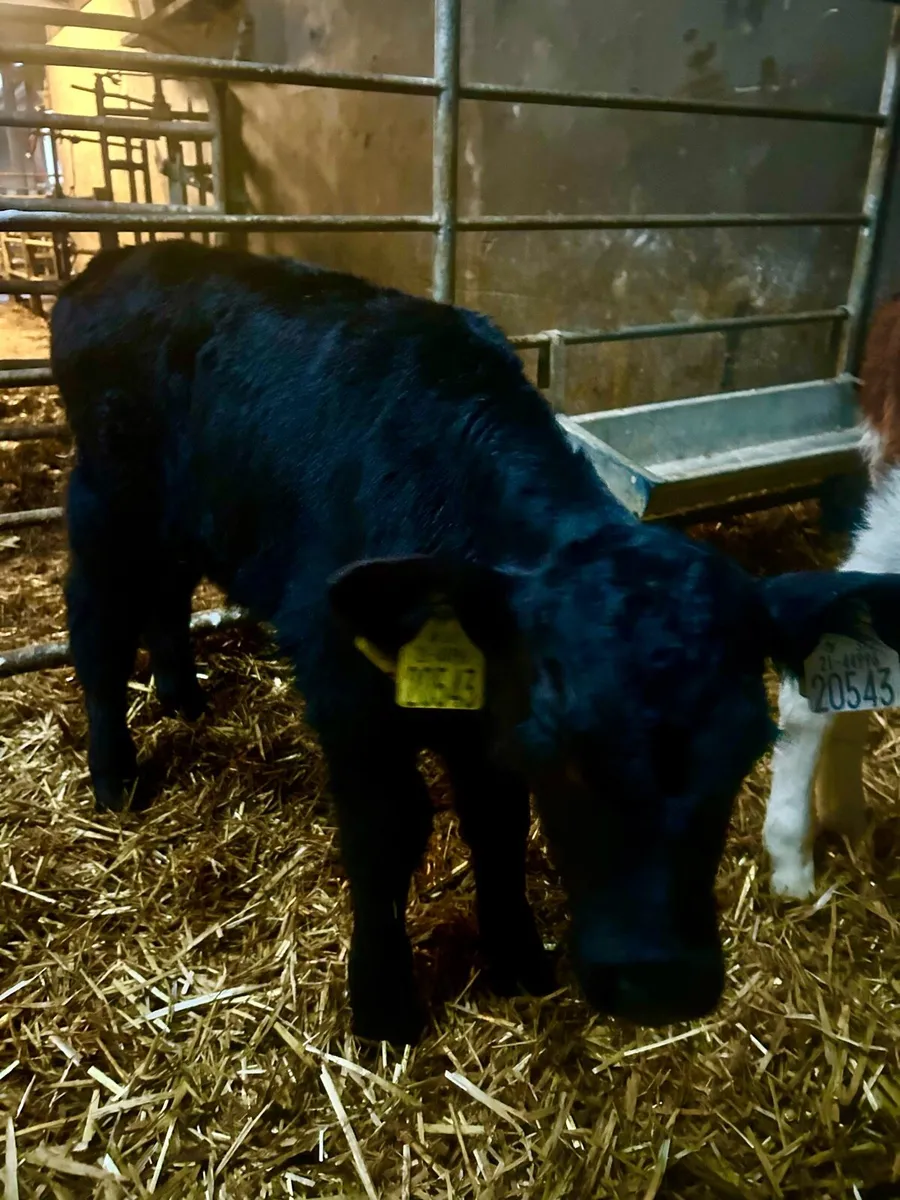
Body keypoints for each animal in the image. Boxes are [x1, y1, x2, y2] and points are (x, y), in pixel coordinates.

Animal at [51, 242, 900, 1044]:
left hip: (183, 515)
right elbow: (389, 832)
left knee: (166, 594)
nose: (661, 984)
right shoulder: (346, 690)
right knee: (96, 627)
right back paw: (115, 773)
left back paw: (181, 695)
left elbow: (498, 825)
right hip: (105, 503)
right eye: (563, 750)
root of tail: (119, 262)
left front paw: (517, 956)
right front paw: (384, 1001)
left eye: (748, 748)